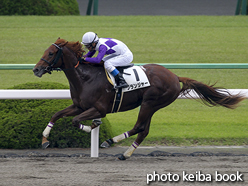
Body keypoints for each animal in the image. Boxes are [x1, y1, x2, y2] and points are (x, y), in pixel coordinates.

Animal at [33, 38, 244, 160]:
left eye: (50, 53)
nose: (36, 69)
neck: (85, 78)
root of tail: (175, 76)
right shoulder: (79, 105)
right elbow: (56, 114)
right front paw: (44, 139)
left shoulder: (100, 108)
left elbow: (77, 121)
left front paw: (92, 126)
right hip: (150, 105)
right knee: (144, 130)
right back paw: (126, 153)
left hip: (150, 103)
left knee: (138, 127)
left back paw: (110, 141)